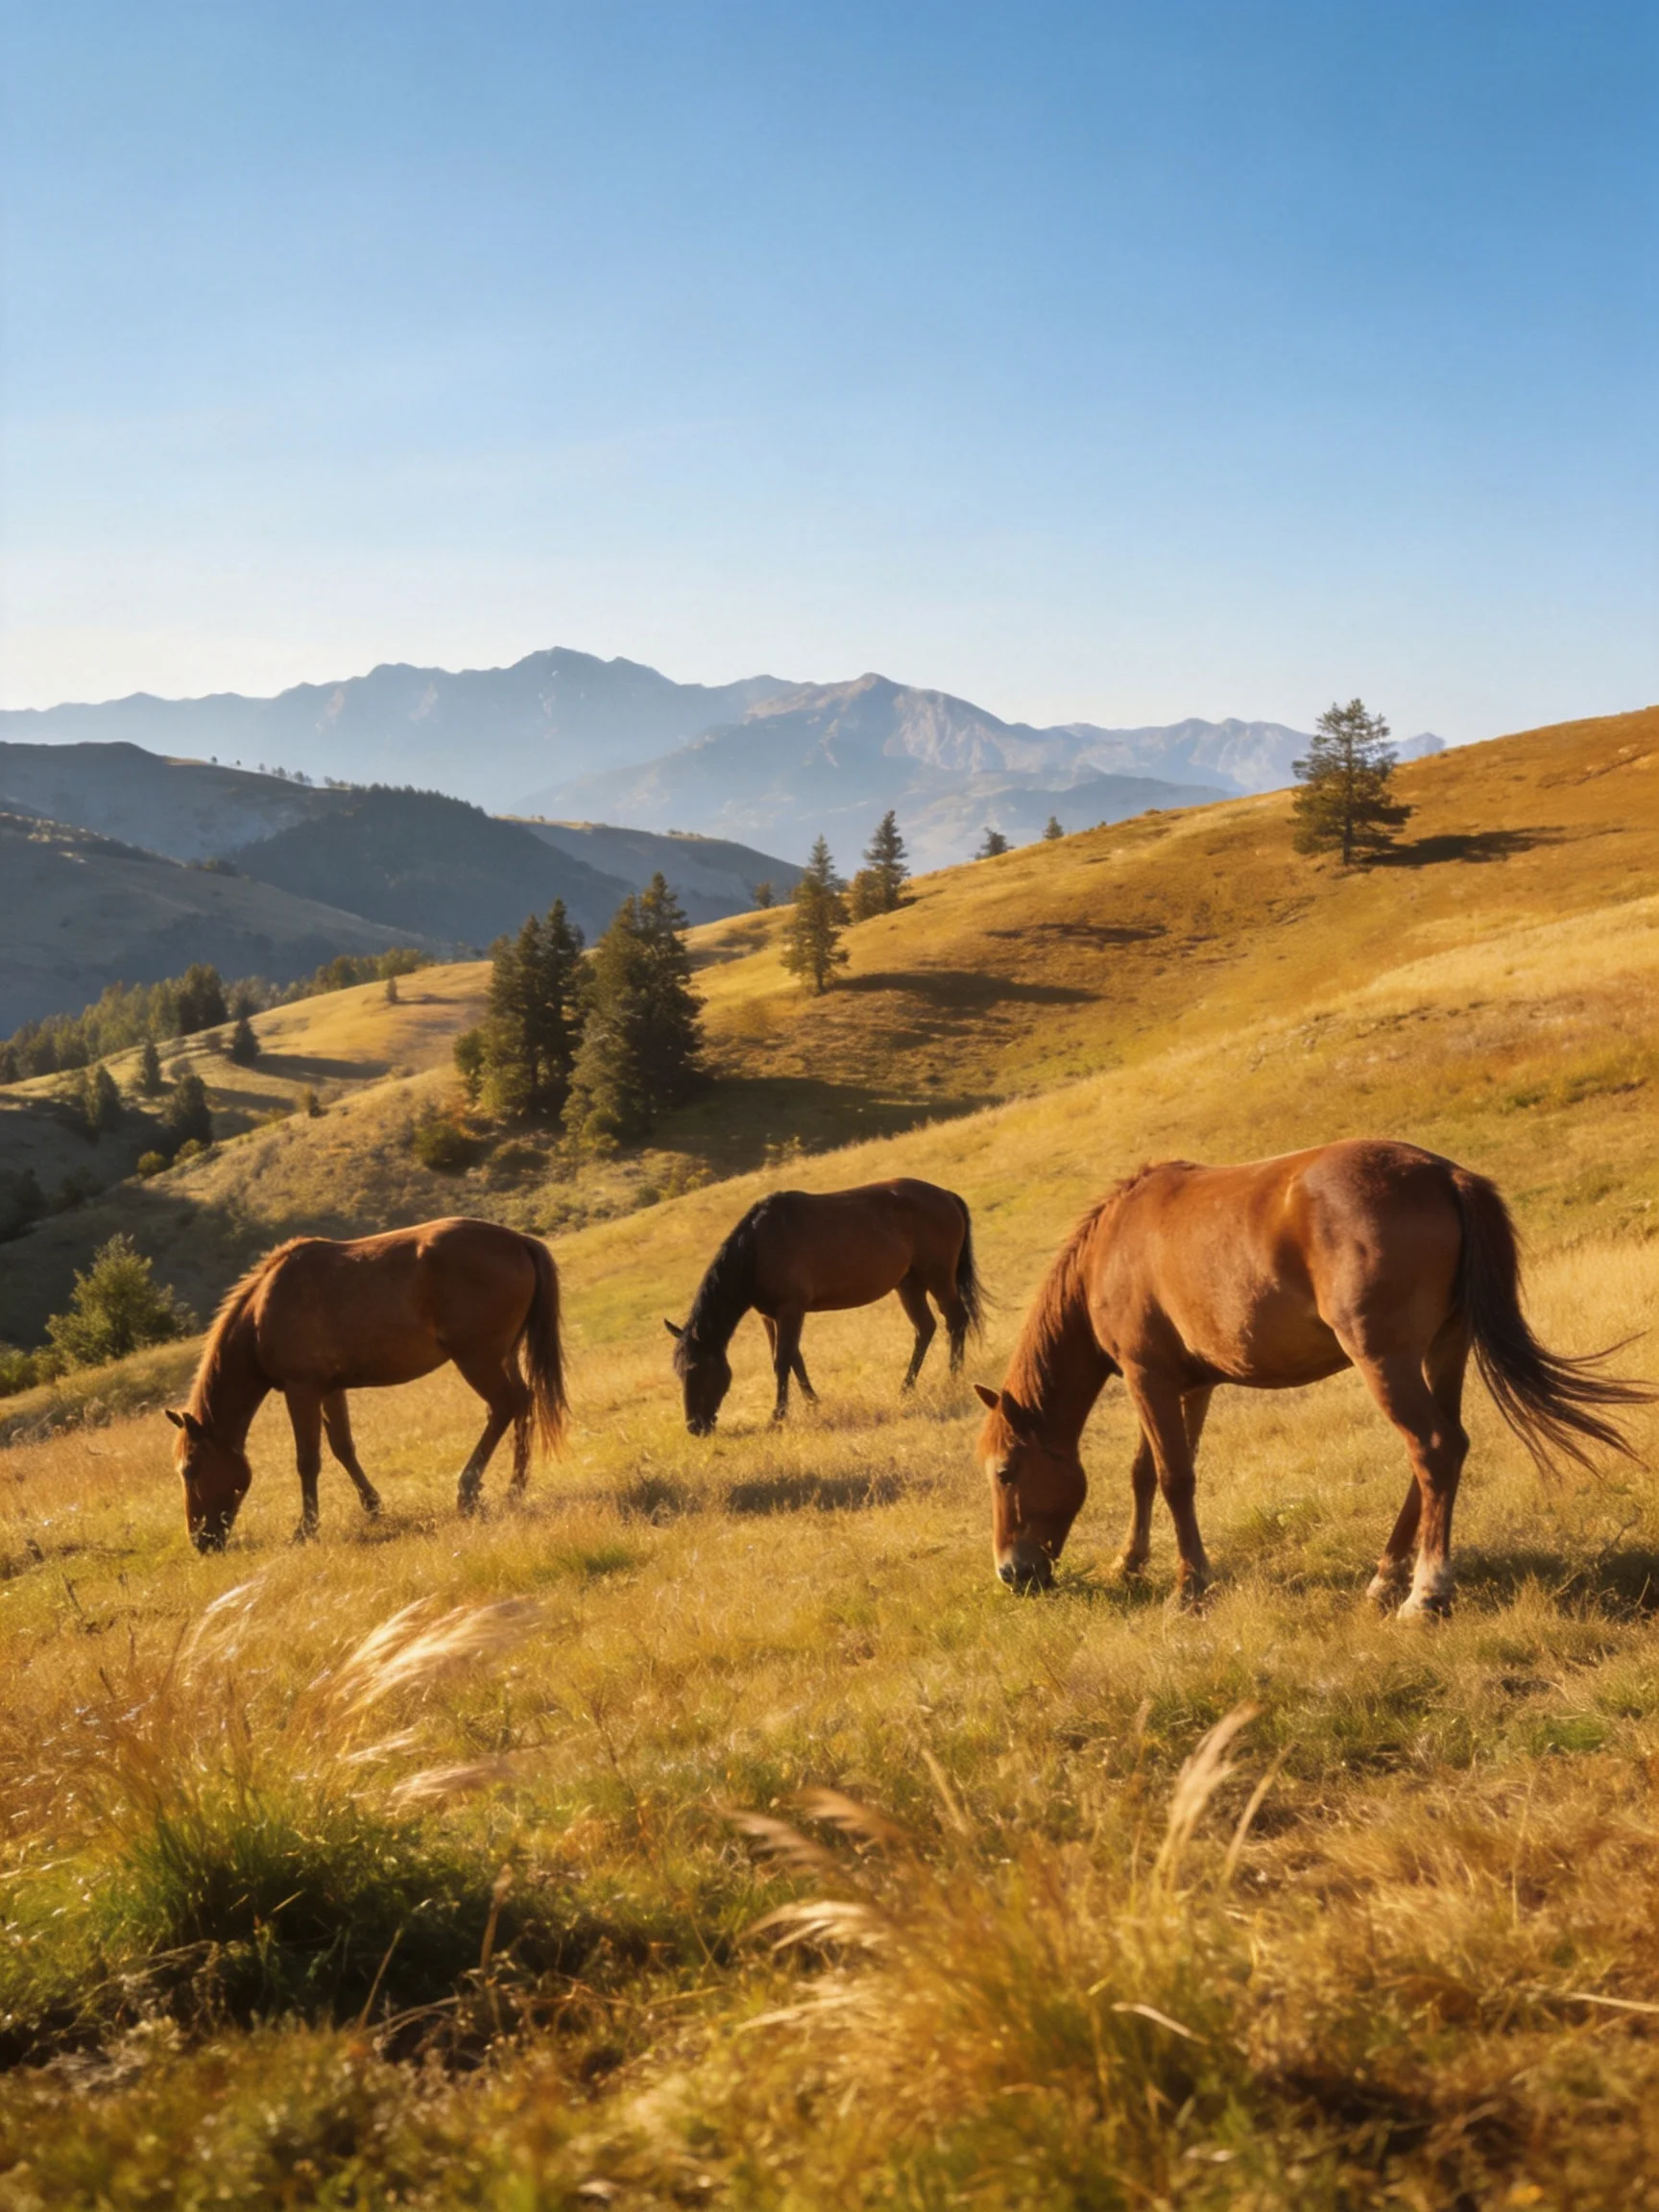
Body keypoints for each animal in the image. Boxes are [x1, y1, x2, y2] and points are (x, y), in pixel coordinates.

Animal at [166, 1217, 566, 1552]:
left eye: (191, 1468)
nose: (200, 1542)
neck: (262, 1315)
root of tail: (517, 1241)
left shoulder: (302, 1390)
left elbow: (307, 1460)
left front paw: (306, 1529)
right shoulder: (330, 1389)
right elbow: (343, 1447)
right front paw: (373, 1507)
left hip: (477, 1359)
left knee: (504, 1405)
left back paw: (471, 1491)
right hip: (503, 1356)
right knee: (523, 1402)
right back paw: (515, 1488)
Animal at [666, 1179, 982, 1434]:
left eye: (698, 1369)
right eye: (679, 1373)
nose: (694, 1427)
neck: (756, 1249)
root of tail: (945, 1195)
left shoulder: (790, 1310)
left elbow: (782, 1361)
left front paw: (778, 1417)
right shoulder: (770, 1316)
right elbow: (793, 1359)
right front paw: (812, 1402)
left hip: (938, 1277)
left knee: (955, 1320)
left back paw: (953, 1377)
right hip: (909, 1283)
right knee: (925, 1328)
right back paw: (906, 1388)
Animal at [974, 1139, 1652, 1613]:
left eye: (1006, 1472)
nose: (1009, 1573)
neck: (1111, 1249)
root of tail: (1443, 1175)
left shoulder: (1148, 1377)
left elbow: (1173, 1479)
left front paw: (1189, 1586)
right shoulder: (1186, 1385)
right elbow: (1147, 1473)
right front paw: (1129, 1562)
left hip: (1384, 1359)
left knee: (1433, 1448)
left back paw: (1426, 1592)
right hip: (1444, 1352)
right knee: (1442, 1452)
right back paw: (1386, 1576)